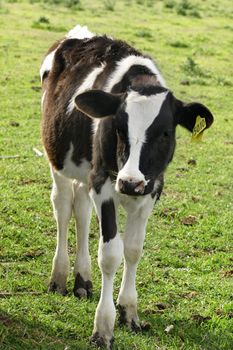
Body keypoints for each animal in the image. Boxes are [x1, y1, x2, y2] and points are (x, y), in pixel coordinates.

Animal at [40, 23, 213, 348]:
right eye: (118, 128)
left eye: (165, 133)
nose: (130, 183)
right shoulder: (104, 183)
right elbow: (110, 254)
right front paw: (103, 327)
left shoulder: (152, 189)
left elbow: (133, 249)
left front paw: (129, 311)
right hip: (58, 157)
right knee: (63, 206)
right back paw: (59, 277)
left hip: (87, 170)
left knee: (81, 210)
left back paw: (82, 280)